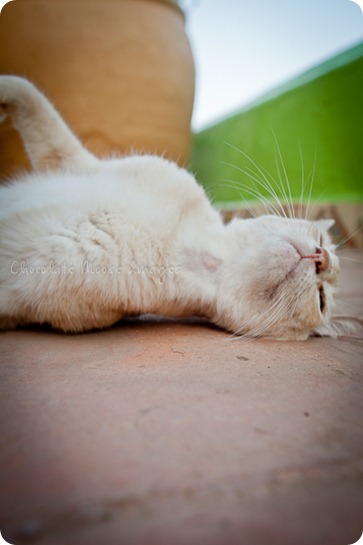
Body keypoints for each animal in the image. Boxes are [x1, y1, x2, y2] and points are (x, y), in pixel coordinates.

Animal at [0, 76, 362, 340]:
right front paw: (6, 90)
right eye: (320, 237)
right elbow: (33, 99)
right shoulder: (75, 161)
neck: (182, 242)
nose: (321, 257)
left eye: (321, 298)